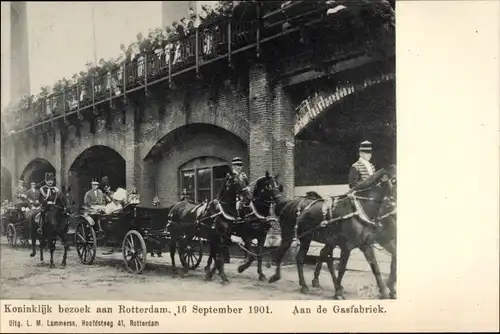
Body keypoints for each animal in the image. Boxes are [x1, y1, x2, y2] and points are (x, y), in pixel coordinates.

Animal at [268, 167, 396, 300]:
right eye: (394, 180)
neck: (358, 210)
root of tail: (289, 203)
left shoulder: (366, 244)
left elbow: (375, 267)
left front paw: (385, 291)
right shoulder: (347, 246)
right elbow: (342, 269)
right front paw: (338, 292)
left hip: (307, 239)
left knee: (302, 258)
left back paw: (304, 285)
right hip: (289, 235)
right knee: (282, 252)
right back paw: (277, 277)